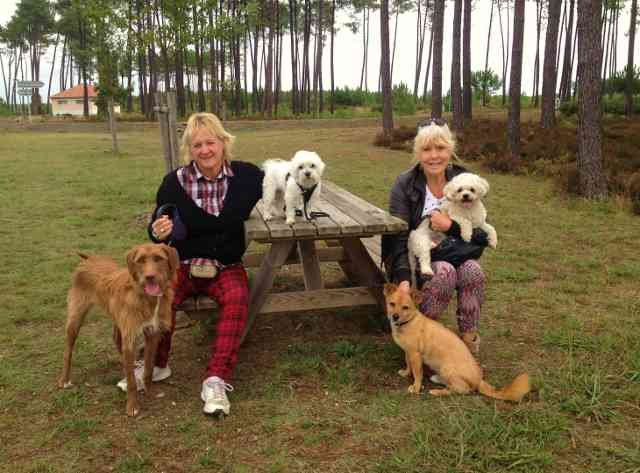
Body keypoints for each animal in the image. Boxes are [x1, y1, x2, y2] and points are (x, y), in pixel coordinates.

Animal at [58, 243, 178, 416]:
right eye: (140, 260)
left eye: (158, 258)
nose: (149, 277)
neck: (147, 298)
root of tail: (88, 259)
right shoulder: (130, 338)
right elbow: (131, 381)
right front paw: (132, 406)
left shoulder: (152, 334)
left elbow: (148, 369)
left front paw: (149, 392)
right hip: (75, 319)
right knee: (68, 351)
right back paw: (64, 379)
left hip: (118, 318)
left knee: (116, 338)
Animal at [384, 282, 528, 400]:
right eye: (392, 304)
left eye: (405, 307)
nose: (395, 316)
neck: (409, 322)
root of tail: (479, 380)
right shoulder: (408, 352)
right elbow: (408, 365)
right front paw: (406, 373)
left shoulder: (415, 355)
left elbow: (418, 374)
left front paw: (416, 387)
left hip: (446, 368)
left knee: (461, 390)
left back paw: (437, 392)